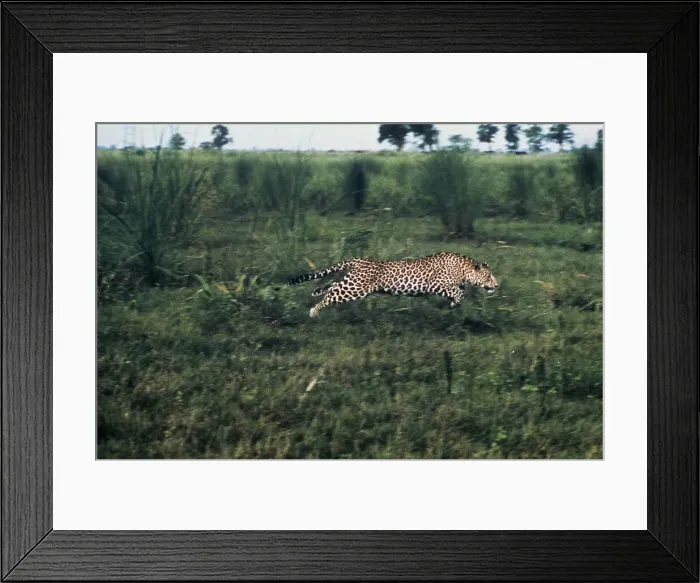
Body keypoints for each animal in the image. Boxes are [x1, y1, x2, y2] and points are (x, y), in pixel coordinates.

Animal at [287, 251, 498, 318]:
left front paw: (454, 304)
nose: (496, 286)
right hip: (355, 288)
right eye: (489, 277)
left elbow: (459, 295)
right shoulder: (437, 284)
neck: (464, 271)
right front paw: (455, 303)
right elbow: (460, 294)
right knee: (331, 294)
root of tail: (358, 260)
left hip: (351, 282)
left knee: (331, 287)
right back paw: (314, 311)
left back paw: (316, 294)